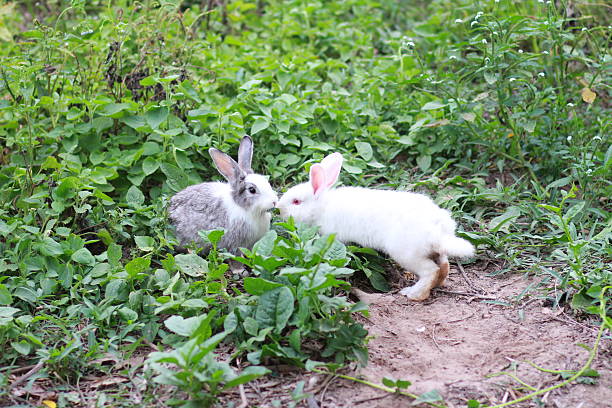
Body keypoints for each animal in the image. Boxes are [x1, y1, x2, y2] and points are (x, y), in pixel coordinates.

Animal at [276, 152, 474, 300]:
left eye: (296, 202)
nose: (279, 208)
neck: (321, 207)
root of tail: (439, 231)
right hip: (435, 252)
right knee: (444, 267)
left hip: (406, 254)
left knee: (430, 271)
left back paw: (413, 294)